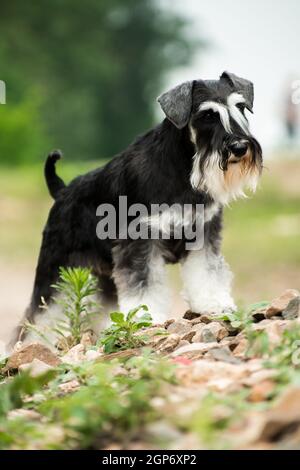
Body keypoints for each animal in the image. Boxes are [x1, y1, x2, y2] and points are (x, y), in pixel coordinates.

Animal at [15, 70, 262, 342]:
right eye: (207, 115)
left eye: (240, 107)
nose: (239, 147)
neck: (181, 169)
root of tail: (61, 190)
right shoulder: (140, 240)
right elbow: (144, 284)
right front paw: (148, 317)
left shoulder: (203, 234)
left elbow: (207, 272)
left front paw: (215, 303)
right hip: (55, 270)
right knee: (41, 314)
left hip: (104, 277)